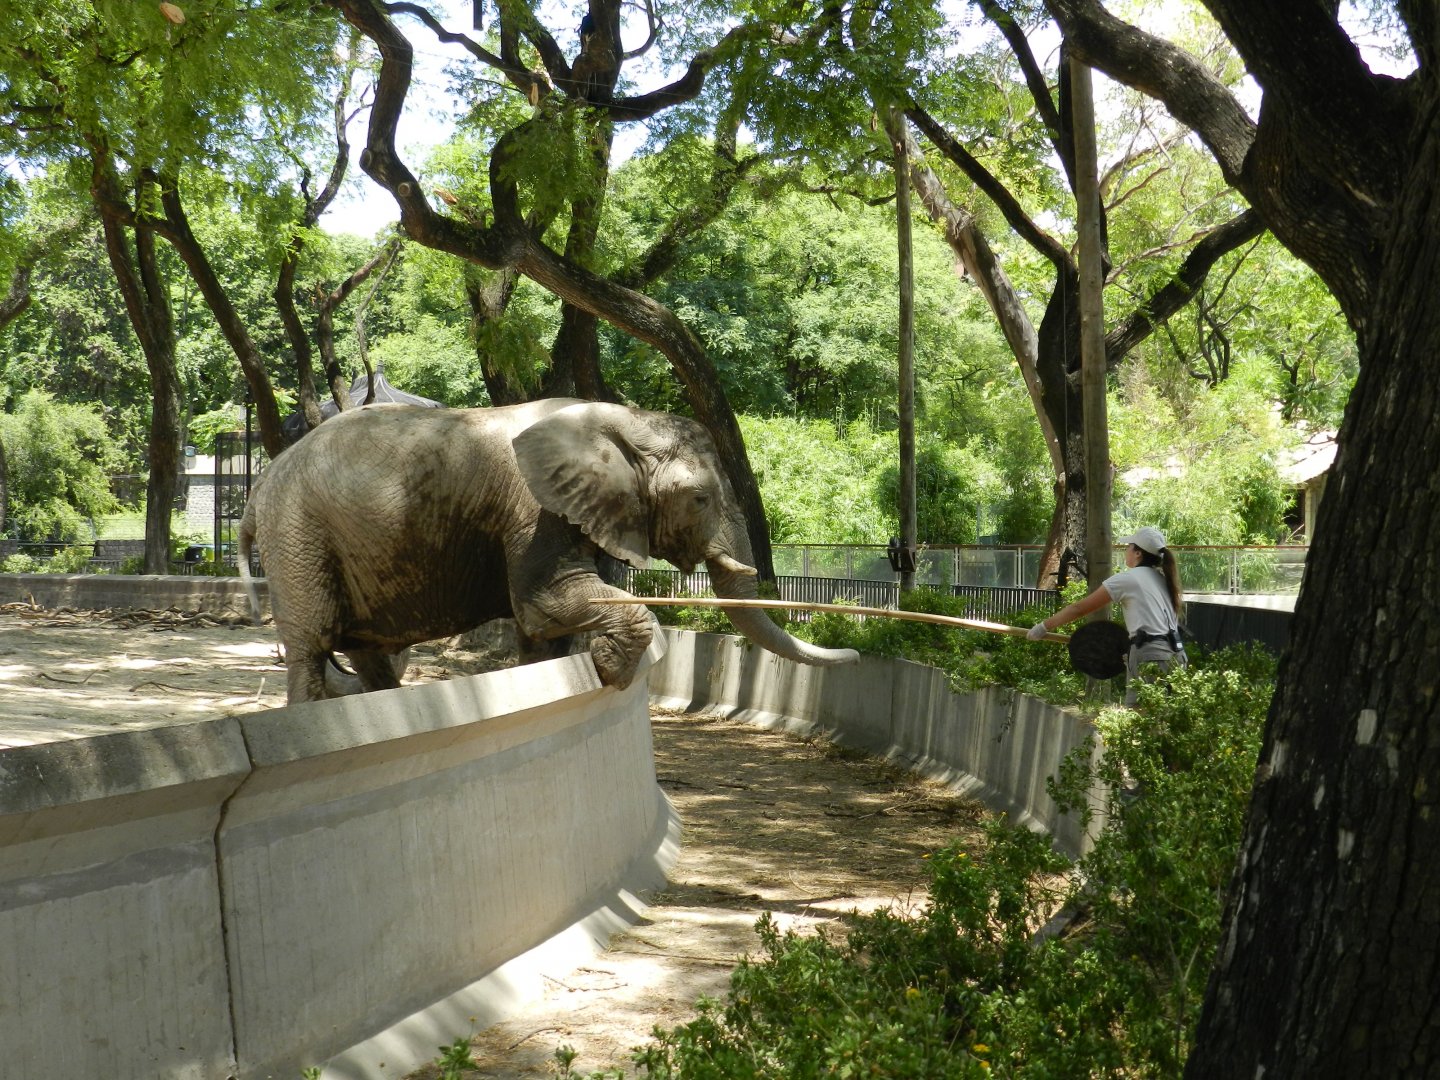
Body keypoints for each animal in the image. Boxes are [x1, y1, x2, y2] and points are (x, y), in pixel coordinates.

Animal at [238, 398, 859, 703]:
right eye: (701, 498)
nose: (853, 652)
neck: (619, 419)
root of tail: (259, 486)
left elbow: (544, 629)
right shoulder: (533, 508)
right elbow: (541, 602)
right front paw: (611, 669)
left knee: (367, 651)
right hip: (297, 534)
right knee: (313, 647)